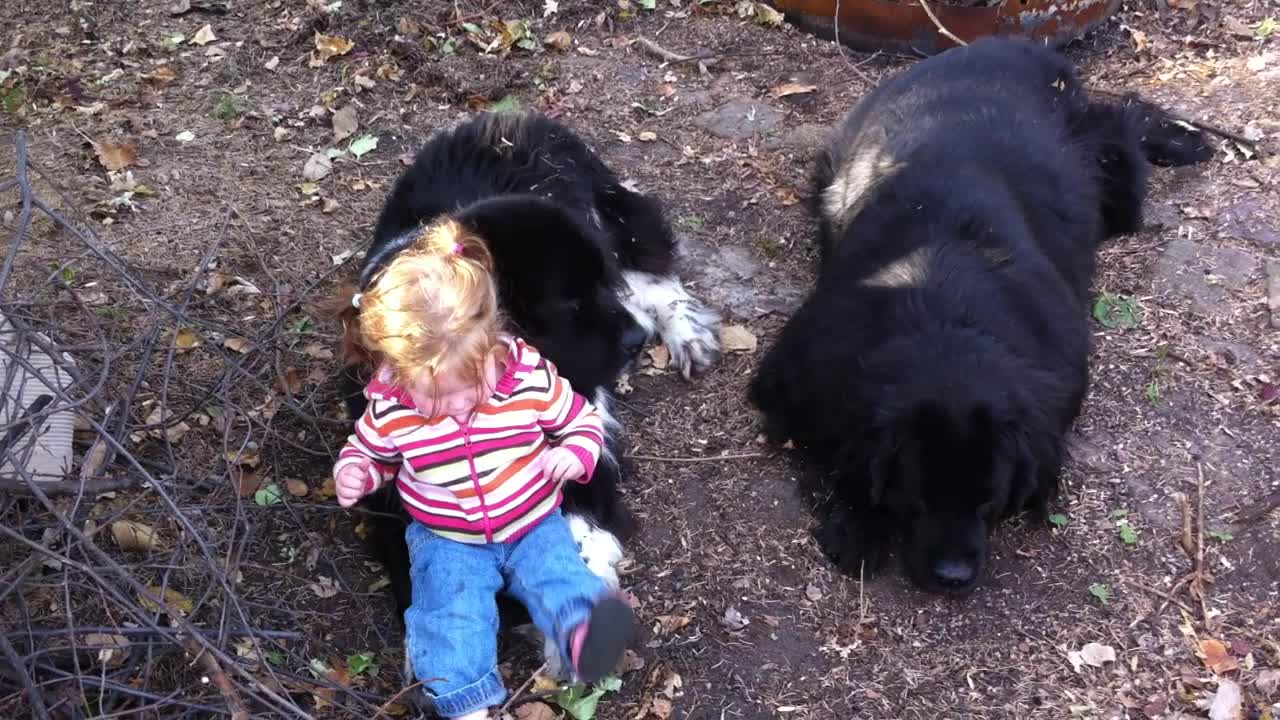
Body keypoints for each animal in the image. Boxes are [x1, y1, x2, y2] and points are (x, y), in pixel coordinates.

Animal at [335, 113, 727, 666]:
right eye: (570, 304)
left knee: (648, 272)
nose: (635, 341)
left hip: (613, 217)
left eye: (592, 290)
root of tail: (510, 117)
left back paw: (684, 332)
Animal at [747, 36, 1208, 591]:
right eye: (918, 497)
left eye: (988, 501)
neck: (942, 309)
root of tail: (1016, 44)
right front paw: (858, 523)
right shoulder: (803, 374)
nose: (953, 575)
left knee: (1121, 117)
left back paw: (1184, 140)